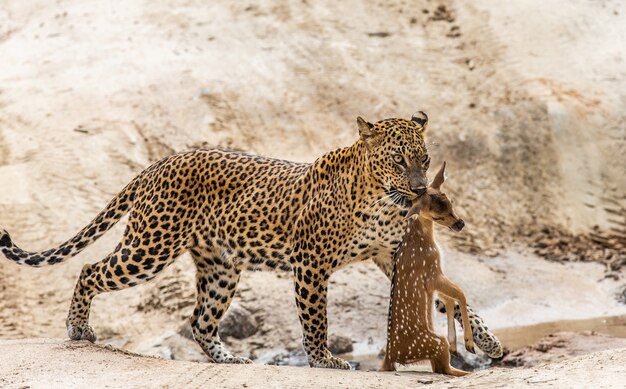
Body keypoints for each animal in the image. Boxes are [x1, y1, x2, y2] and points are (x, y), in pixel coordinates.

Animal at [0, 111, 498, 366]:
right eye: (398, 160)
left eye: (424, 159)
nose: (417, 189)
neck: (379, 198)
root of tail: (158, 163)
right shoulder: (311, 263)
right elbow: (316, 319)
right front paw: (325, 360)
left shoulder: (393, 255)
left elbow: (450, 298)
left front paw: (490, 342)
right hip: (150, 248)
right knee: (90, 269)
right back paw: (78, 328)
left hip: (220, 266)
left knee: (200, 321)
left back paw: (229, 359)